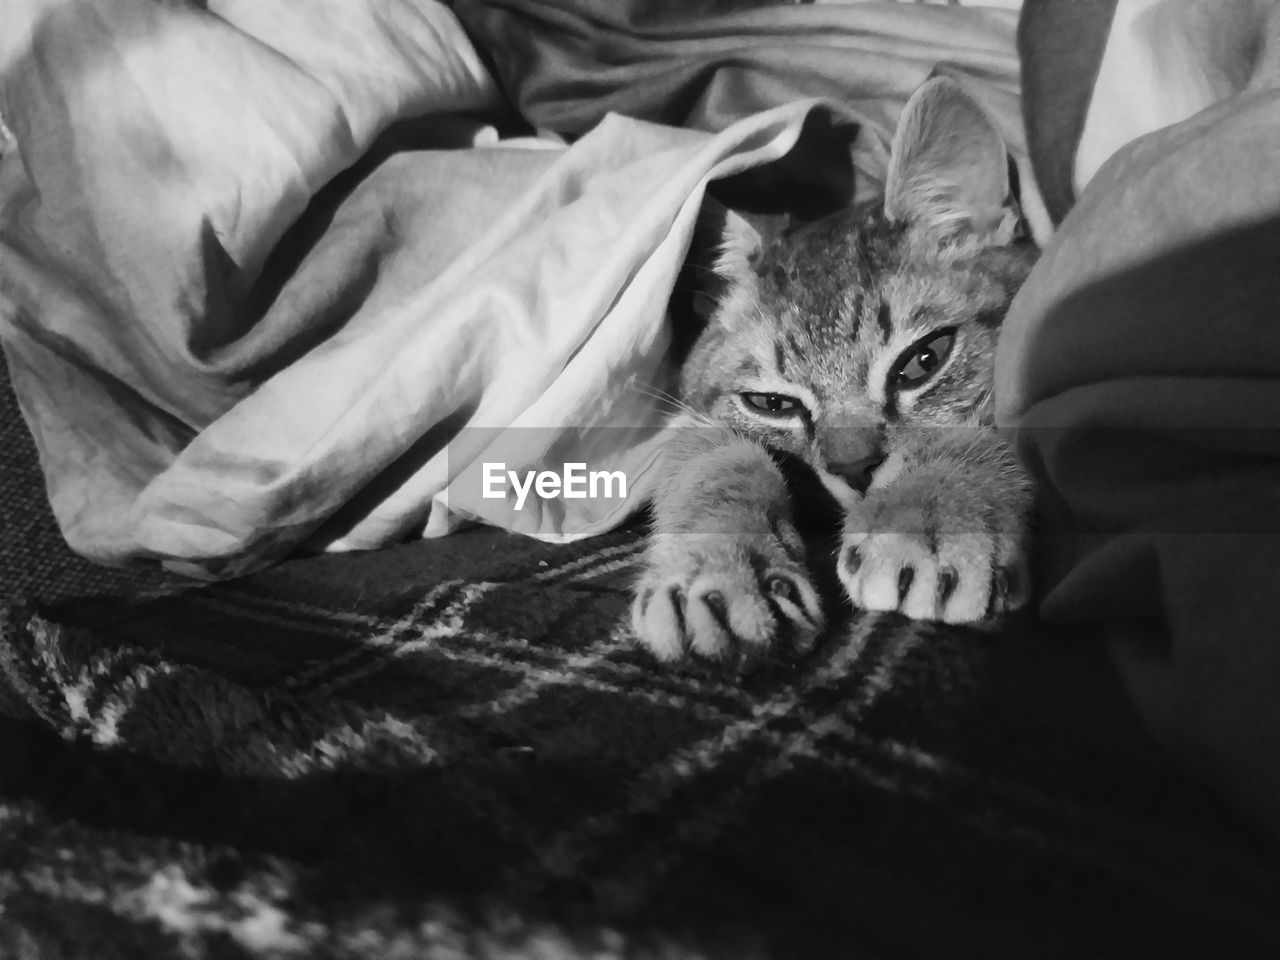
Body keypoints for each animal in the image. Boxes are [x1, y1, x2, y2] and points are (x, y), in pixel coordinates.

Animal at [629, 79, 1039, 670]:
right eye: (773, 405)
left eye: (924, 361)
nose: (855, 468)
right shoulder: (695, 414)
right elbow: (711, 458)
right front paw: (716, 573)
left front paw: (930, 514)